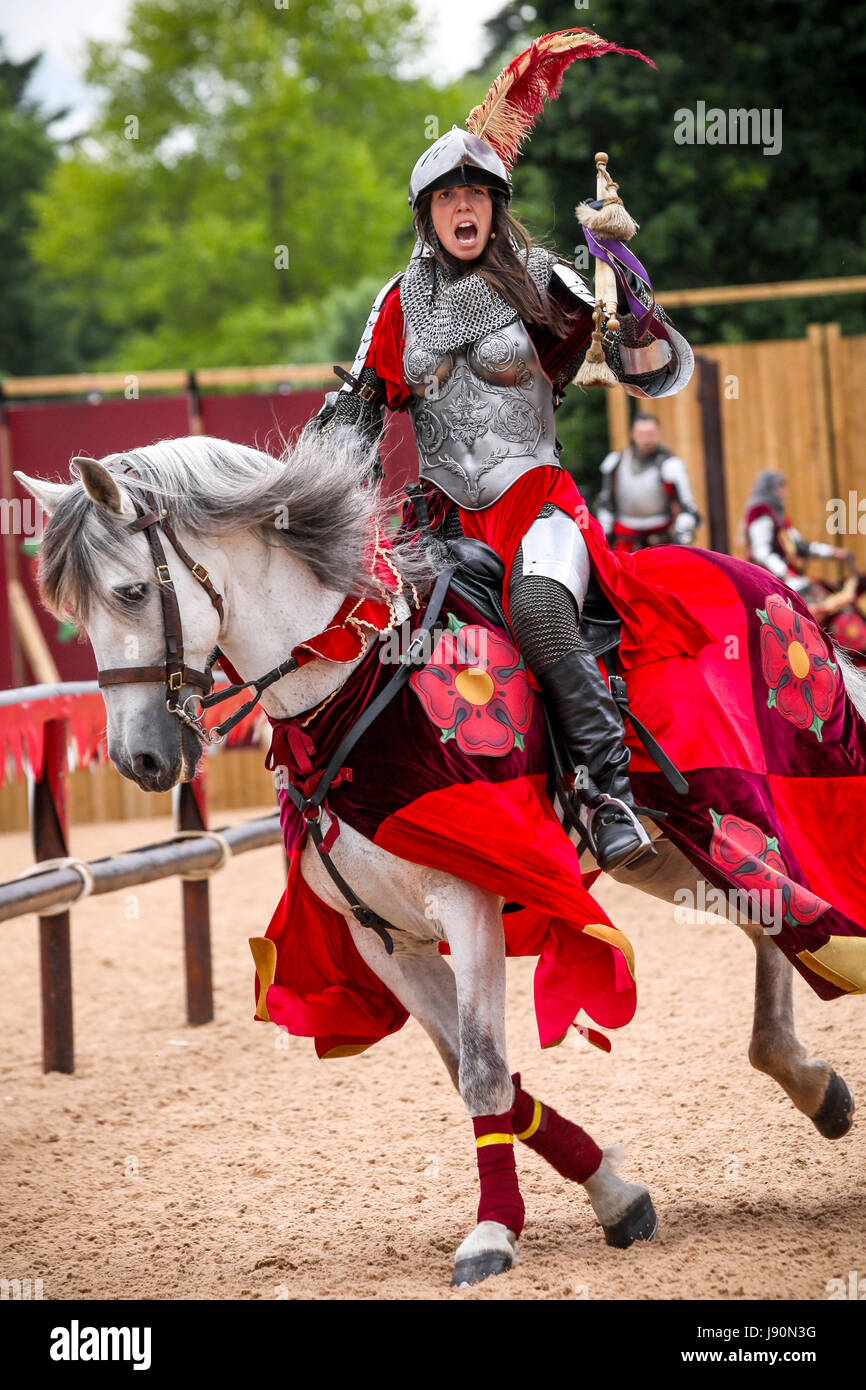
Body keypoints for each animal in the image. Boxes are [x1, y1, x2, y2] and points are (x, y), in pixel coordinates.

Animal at [16, 433, 861, 1289]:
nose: (142, 759)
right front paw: (613, 1192)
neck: (349, 687)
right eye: (77, 613)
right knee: (768, 918)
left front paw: (493, 1233)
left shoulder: (470, 905)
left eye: (129, 592)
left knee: (788, 905)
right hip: (672, 851)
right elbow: (476, 1077)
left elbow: (486, 1070)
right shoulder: (382, 939)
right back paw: (806, 1079)